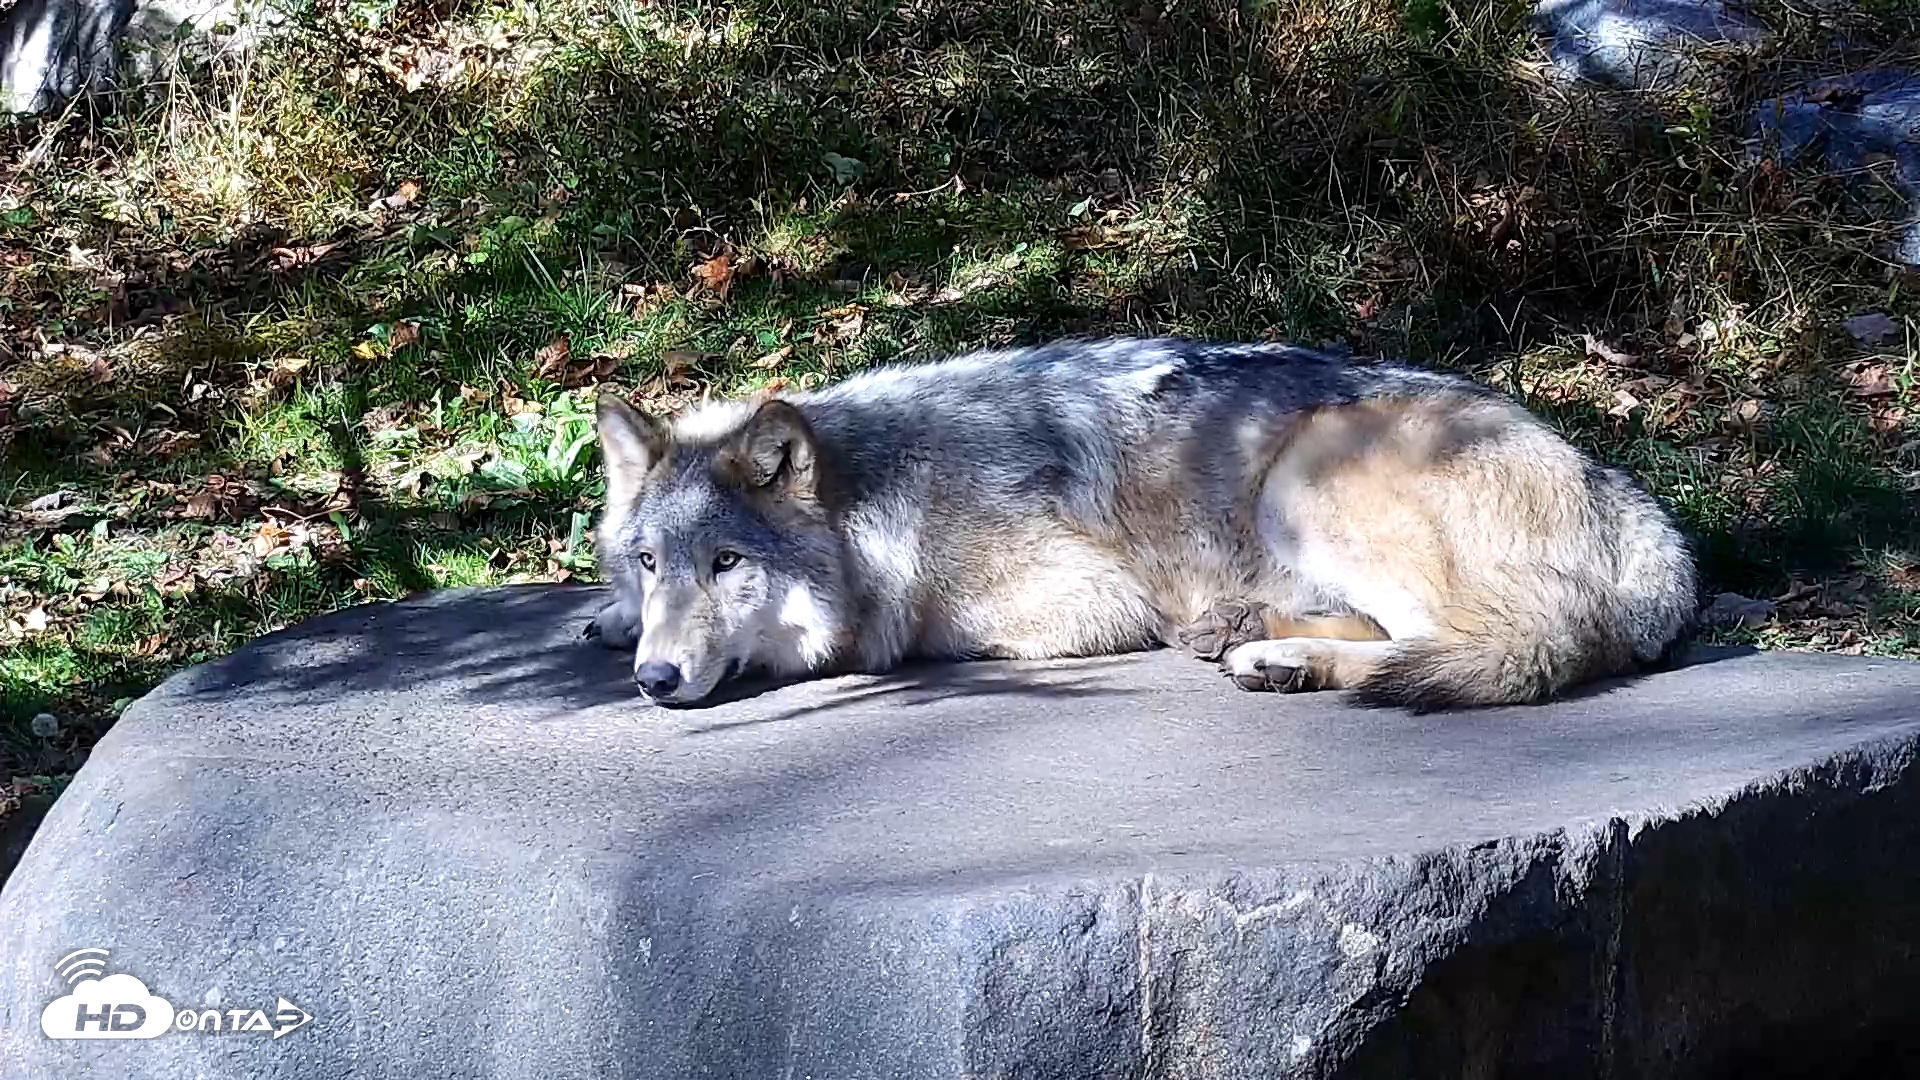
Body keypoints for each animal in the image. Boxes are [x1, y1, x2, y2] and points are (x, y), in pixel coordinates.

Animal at [587, 337, 1697, 710]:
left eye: (728, 562)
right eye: (648, 560)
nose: (655, 681)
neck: (875, 501)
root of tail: (1623, 489)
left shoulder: (1085, 602)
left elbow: (909, 634)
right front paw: (609, 620)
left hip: (1306, 469)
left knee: (1460, 642)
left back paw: (1280, 657)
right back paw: (1247, 635)